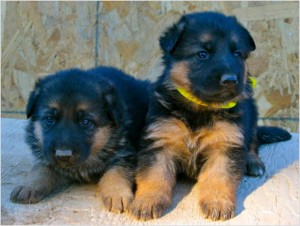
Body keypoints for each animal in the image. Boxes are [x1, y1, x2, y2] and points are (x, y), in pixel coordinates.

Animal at [9, 66, 150, 214]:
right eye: (50, 119)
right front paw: (29, 185)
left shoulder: (124, 153)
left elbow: (117, 171)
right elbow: (41, 167)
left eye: (85, 121)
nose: (63, 155)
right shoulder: (47, 155)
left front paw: (117, 192)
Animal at [129, 11, 290, 221]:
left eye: (237, 54)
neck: (201, 107)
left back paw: (253, 161)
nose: (230, 80)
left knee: (253, 141)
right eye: (202, 54)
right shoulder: (159, 141)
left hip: (252, 115)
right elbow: (154, 175)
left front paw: (218, 203)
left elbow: (219, 176)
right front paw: (147, 201)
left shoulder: (226, 144)